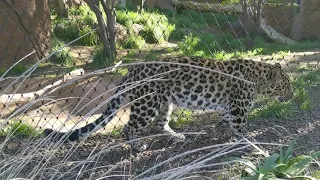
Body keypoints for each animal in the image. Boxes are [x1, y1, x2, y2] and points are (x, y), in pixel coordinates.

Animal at [43, 55, 294, 151]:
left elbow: (224, 122)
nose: (292, 96)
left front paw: (219, 132)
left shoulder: (228, 107)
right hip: (148, 104)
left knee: (160, 124)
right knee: (129, 127)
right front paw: (249, 142)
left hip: (166, 103)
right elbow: (241, 127)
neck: (259, 79)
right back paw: (137, 147)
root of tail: (130, 73)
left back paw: (177, 136)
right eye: (285, 85)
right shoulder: (238, 108)